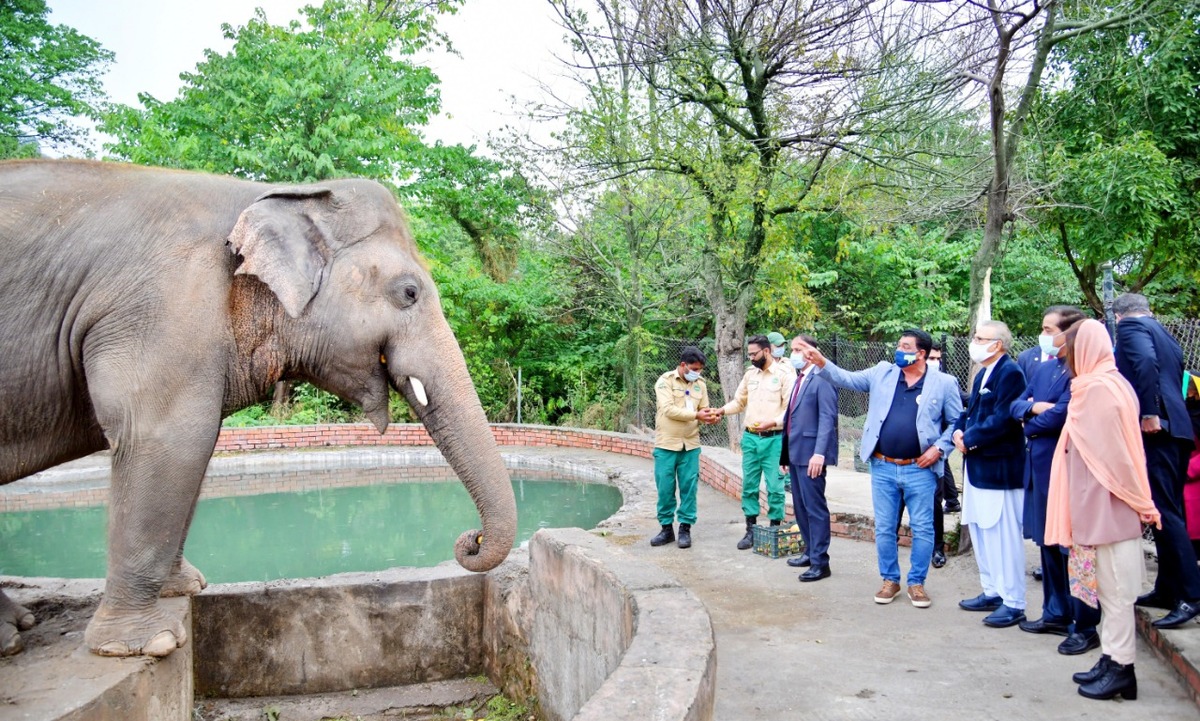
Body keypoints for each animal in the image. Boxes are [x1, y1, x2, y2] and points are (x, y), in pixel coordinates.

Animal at [0, 160, 511, 657]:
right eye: (409, 292)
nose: (471, 539)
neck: (274, 194)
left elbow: (197, 446)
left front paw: (185, 589)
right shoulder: (161, 309)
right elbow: (168, 437)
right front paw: (145, 645)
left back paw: (15, 629)